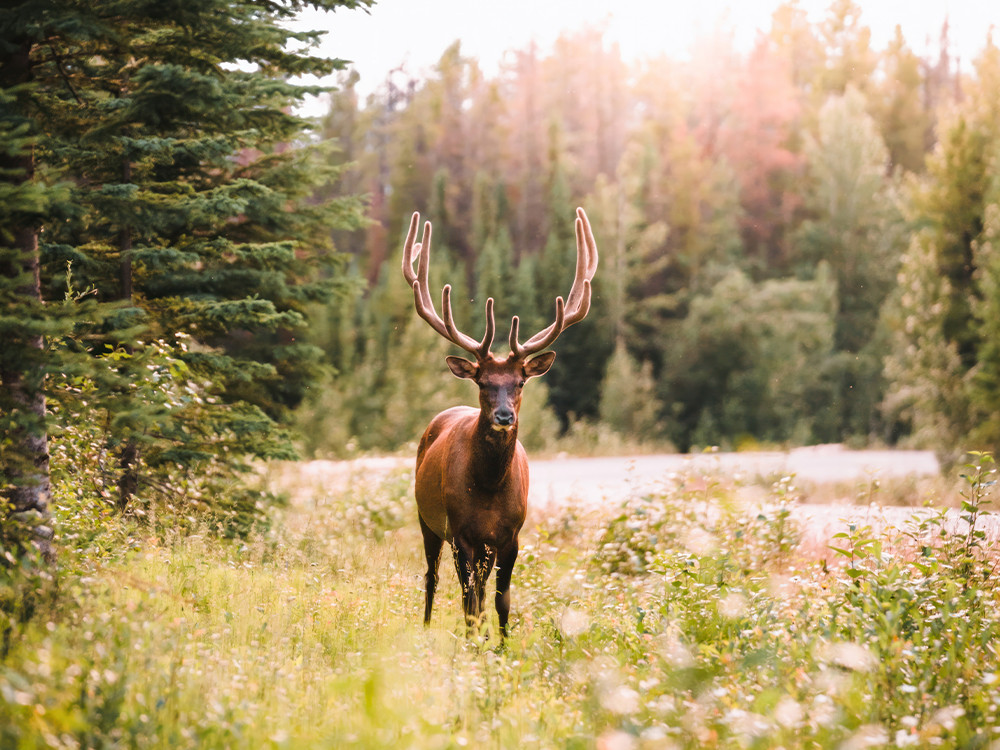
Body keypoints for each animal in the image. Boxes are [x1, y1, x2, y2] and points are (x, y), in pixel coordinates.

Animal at [402, 206, 596, 636]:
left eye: (519, 381)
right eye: (484, 382)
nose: (503, 416)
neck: (490, 489)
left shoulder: (511, 536)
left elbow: (501, 600)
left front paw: (502, 644)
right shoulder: (461, 533)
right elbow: (470, 603)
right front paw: (475, 643)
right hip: (427, 520)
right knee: (432, 578)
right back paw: (426, 628)